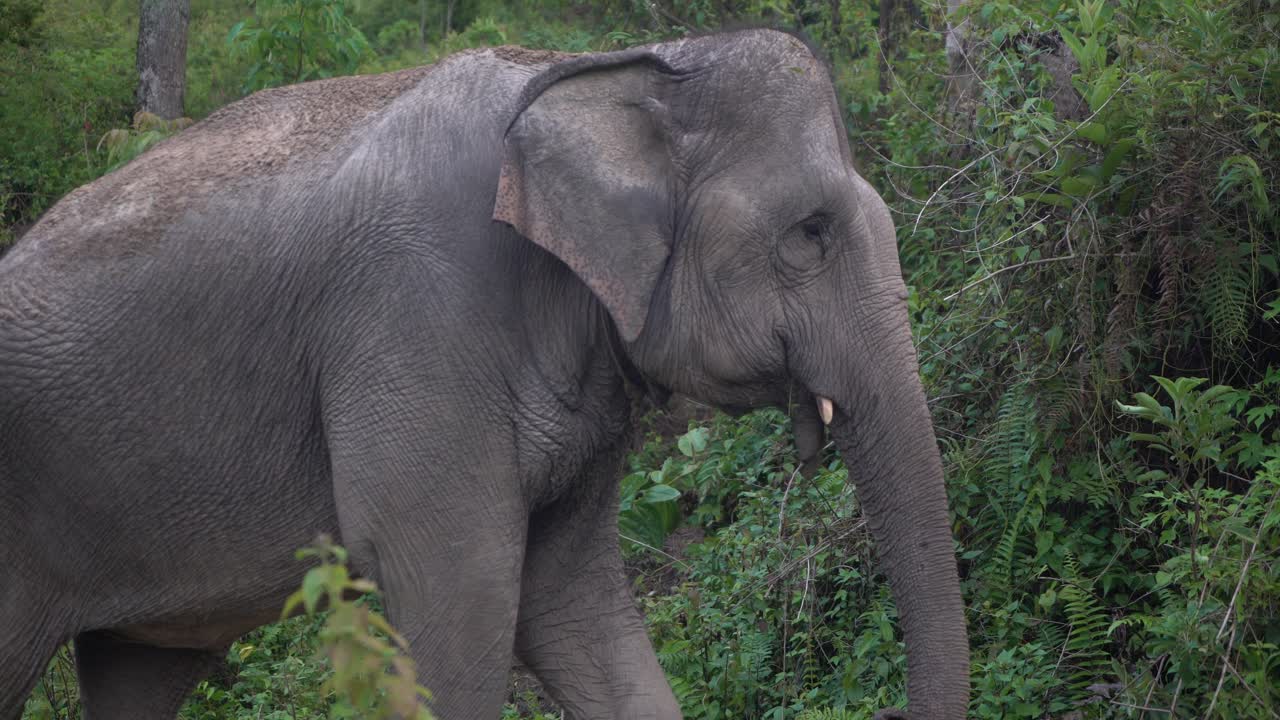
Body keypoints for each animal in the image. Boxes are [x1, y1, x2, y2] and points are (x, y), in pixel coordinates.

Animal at [0, 29, 968, 719]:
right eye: (810, 234)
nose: (885, 707)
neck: (604, 69)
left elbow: (570, 603)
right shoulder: (413, 315)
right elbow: (463, 594)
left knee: (138, 672)